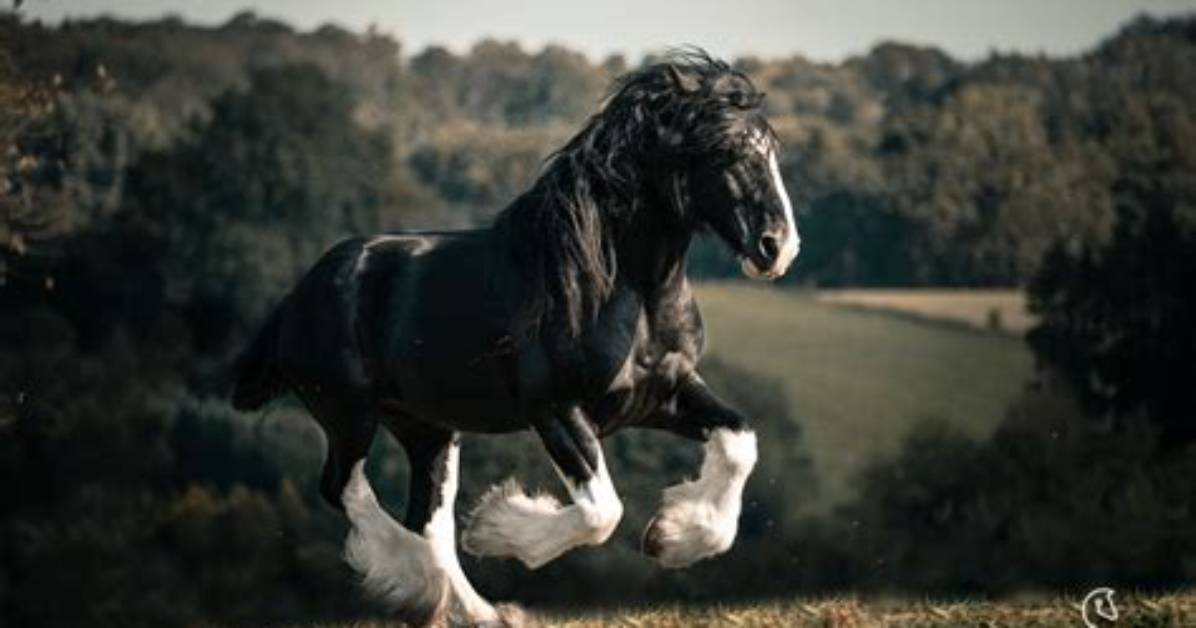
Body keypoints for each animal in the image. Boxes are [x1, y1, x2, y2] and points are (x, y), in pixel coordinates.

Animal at [231, 50, 799, 627]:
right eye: (727, 150)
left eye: (772, 152)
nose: (778, 247)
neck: (626, 291)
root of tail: (298, 296)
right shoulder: (555, 408)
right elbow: (601, 511)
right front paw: (498, 528)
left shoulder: (662, 395)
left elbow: (739, 442)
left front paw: (674, 536)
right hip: (349, 413)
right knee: (344, 488)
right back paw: (420, 584)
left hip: (426, 427)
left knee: (428, 520)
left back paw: (476, 611)